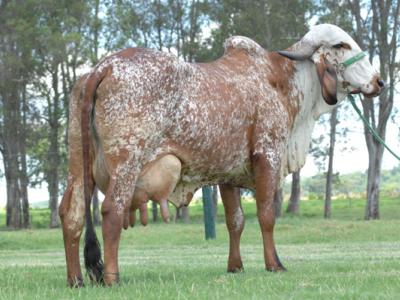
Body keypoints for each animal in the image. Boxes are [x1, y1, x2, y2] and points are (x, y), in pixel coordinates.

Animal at [59, 23, 384, 286]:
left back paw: (75, 280)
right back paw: (112, 278)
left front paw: (235, 266)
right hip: (127, 161)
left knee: (71, 213)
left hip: (78, 165)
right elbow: (266, 215)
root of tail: (103, 67)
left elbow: (235, 221)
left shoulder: (229, 174)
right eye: (342, 46)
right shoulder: (268, 155)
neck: (281, 80)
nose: (379, 82)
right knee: (111, 211)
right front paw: (274, 264)